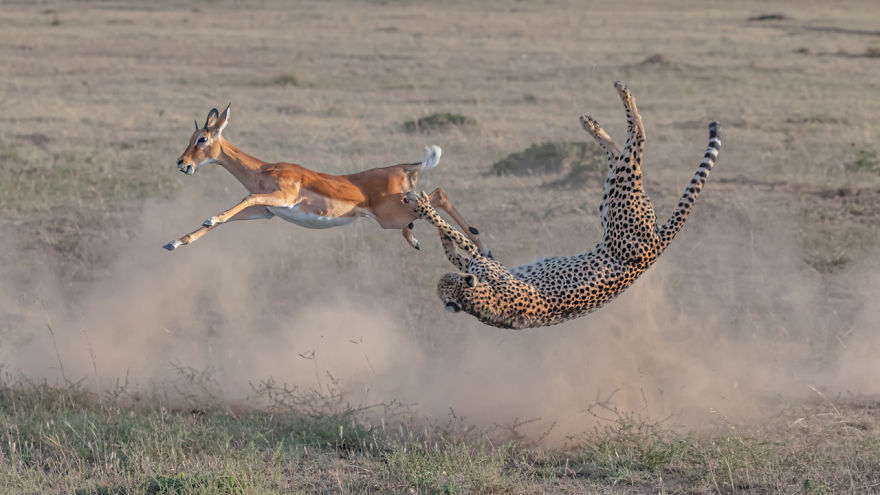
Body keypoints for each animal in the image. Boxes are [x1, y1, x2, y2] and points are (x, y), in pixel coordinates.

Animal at [401, 81, 721, 329]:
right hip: (614, 198)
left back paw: (617, 98)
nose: (449, 280)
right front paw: (433, 222)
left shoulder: (486, 264)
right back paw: (594, 122)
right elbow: (457, 247)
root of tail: (658, 244)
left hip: (621, 199)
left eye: (446, 281)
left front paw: (424, 208)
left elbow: (460, 238)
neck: (479, 303)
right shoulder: (481, 264)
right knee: (624, 152)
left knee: (637, 140)